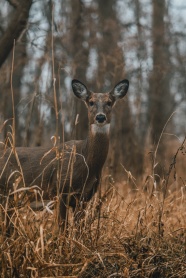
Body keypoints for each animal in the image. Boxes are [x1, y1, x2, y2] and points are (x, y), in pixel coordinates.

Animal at [0, 78, 129, 228]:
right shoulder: (60, 191)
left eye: (109, 102)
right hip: (6, 194)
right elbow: (63, 227)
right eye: (91, 101)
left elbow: (78, 228)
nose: (101, 117)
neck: (86, 162)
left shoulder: (84, 197)